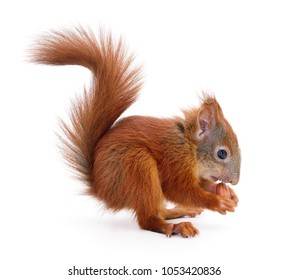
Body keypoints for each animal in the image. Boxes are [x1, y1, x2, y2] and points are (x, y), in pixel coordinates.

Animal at [29, 26, 241, 237]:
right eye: (222, 154)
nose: (235, 182)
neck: (189, 146)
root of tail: (102, 190)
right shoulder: (175, 161)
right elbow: (179, 190)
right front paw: (217, 201)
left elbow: (201, 185)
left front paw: (227, 193)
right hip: (137, 165)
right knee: (147, 219)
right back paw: (174, 226)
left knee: (156, 210)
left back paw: (179, 212)